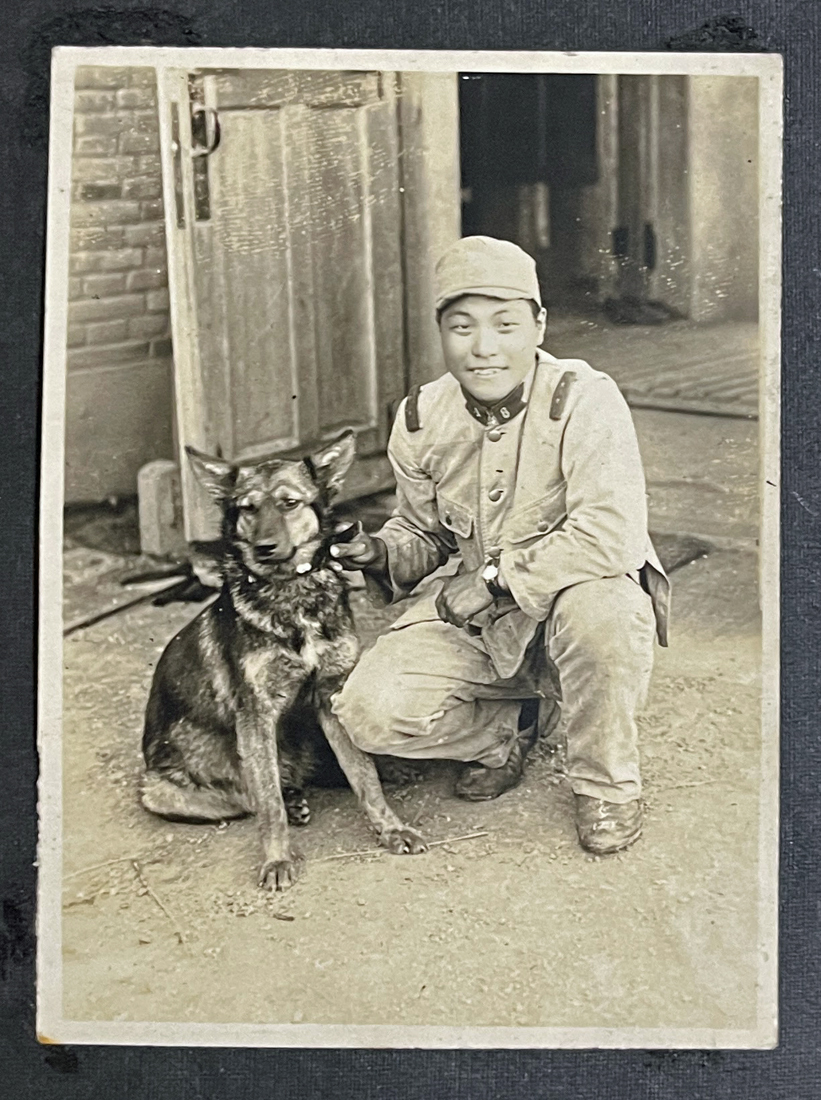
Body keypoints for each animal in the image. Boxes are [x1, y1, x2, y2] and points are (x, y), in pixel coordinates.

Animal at [140, 433, 424, 888]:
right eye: (247, 508)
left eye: (290, 503)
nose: (264, 547)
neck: (292, 595)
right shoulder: (256, 715)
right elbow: (268, 803)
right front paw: (277, 858)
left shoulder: (331, 695)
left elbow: (363, 776)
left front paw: (390, 827)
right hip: (161, 791)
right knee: (254, 795)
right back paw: (291, 801)